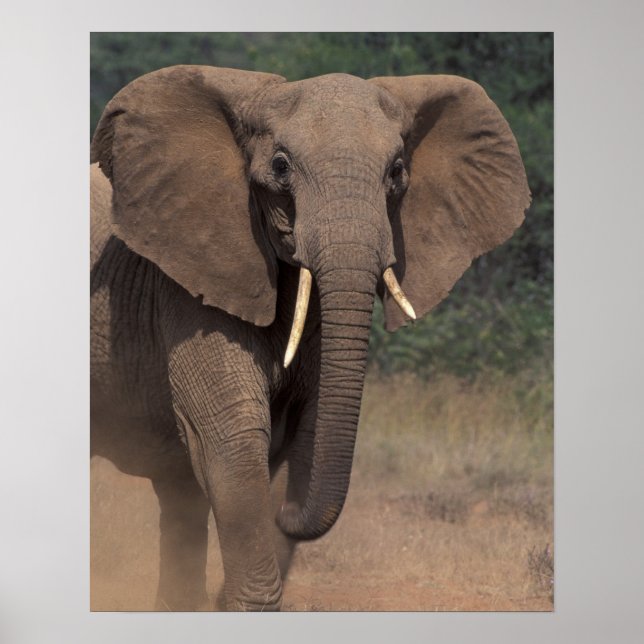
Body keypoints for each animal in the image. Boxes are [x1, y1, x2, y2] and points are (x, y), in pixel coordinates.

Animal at [90, 65, 530, 611]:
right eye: (280, 167)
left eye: (397, 171)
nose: (286, 511)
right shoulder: (186, 281)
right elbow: (230, 437)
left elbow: (310, 427)